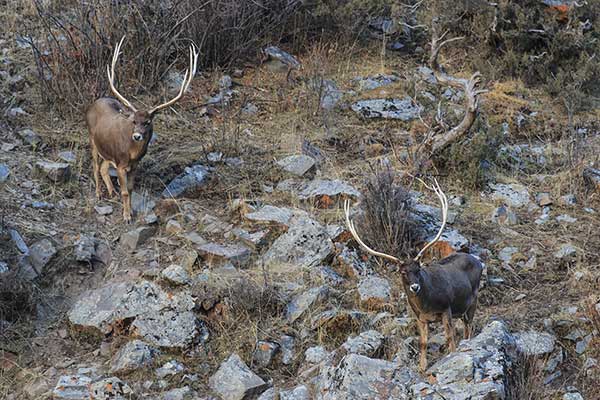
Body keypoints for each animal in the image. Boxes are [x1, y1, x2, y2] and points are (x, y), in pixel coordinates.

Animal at [86, 36, 200, 222]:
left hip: (106, 150)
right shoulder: (121, 163)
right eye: (133, 121)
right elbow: (125, 191)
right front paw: (126, 216)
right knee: (95, 167)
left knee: (103, 167)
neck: (132, 153)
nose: (137, 136)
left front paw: (131, 210)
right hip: (91, 139)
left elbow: (131, 189)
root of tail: (93, 103)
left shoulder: (135, 165)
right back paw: (98, 194)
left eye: (147, 122)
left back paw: (111, 192)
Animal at [344, 178, 480, 372]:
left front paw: (452, 356)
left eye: (418, 268)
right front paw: (422, 367)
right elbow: (422, 342)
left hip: (473, 300)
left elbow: (450, 337)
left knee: (469, 327)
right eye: (403, 271)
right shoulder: (420, 318)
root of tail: (477, 260)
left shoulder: (446, 308)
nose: (415, 286)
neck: (427, 305)